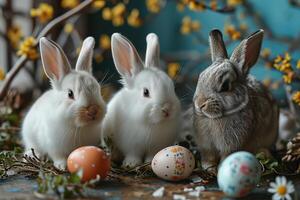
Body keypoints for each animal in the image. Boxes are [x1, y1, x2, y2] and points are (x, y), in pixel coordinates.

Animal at [21, 36, 105, 170]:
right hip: (30, 136)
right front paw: (62, 166)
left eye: (98, 89)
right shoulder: (54, 147)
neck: (78, 127)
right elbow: (58, 157)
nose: (93, 110)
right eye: (70, 94)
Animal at [103, 33, 180, 168]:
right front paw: (131, 164)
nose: (167, 109)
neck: (152, 124)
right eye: (145, 92)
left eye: (173, 88)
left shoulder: (155, 147)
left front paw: (149, 163)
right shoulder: (132, 146)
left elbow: (152, 155)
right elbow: (133, 154)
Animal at [192, 28, 278, 173]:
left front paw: (220, 169)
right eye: (200, 77)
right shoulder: (206, 146)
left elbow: (226, 156)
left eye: (225, 86)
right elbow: (208, 157)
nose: (199, 104)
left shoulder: (233, 145)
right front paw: (209, 168)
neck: (215, 118)